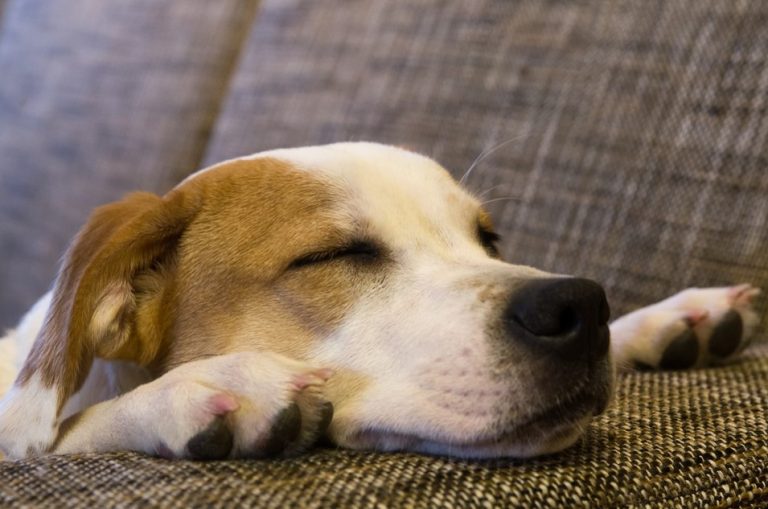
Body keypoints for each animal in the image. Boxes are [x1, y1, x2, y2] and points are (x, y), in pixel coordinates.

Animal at [0, 144, 760, 460]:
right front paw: (202, 388)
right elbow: (62, 433)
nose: (579, 304)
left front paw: (665, 319)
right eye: (334, 256)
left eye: (489, 240)